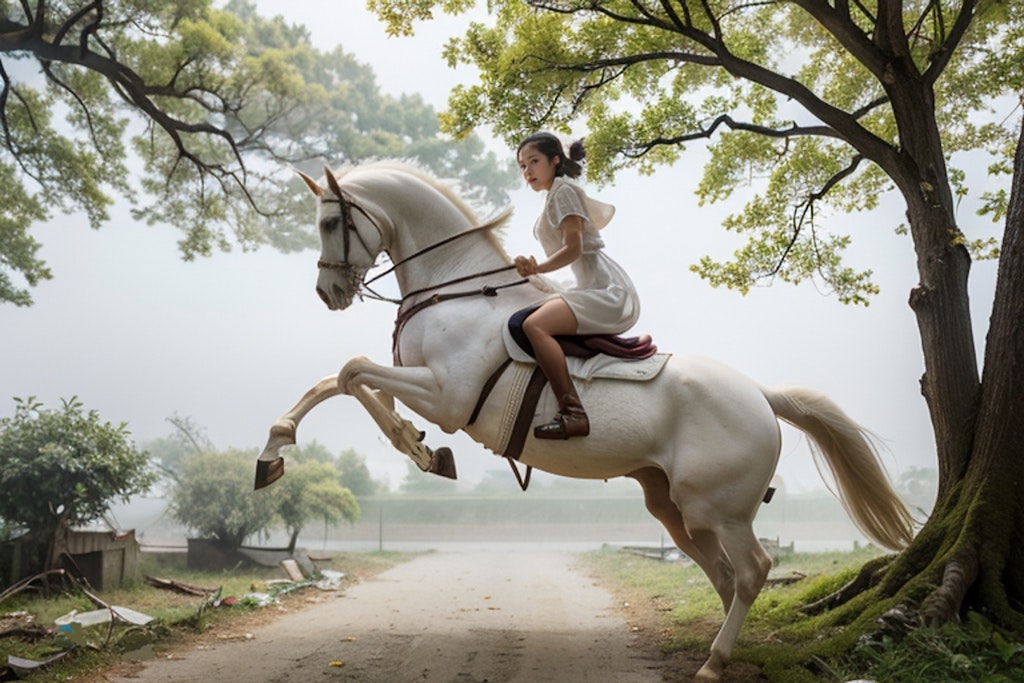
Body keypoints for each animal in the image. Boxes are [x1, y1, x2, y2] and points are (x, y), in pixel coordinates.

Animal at [256, 161, 913, 683]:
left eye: (331, 223)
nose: (328, 292)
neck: (454, 293)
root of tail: (759, 394)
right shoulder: (420, 384)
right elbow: (341, 382)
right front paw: (277, 453)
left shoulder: (447, 397)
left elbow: (351, 374)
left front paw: (418, 449)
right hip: (675, 509)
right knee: (725, 576)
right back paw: (714, 649)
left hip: (719, 509)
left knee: (753, 572)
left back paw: (713, 663)